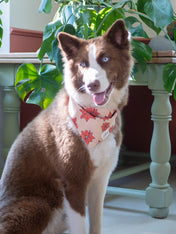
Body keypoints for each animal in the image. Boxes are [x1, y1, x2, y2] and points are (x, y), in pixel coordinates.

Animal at [0, 20, 132, 234]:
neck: (96, 117)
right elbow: (80, 227)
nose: (92, 85)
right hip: (38, 206)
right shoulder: (74, 183)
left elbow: (96, 223)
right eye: (83, 64)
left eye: (105, 58)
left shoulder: (100, 181)